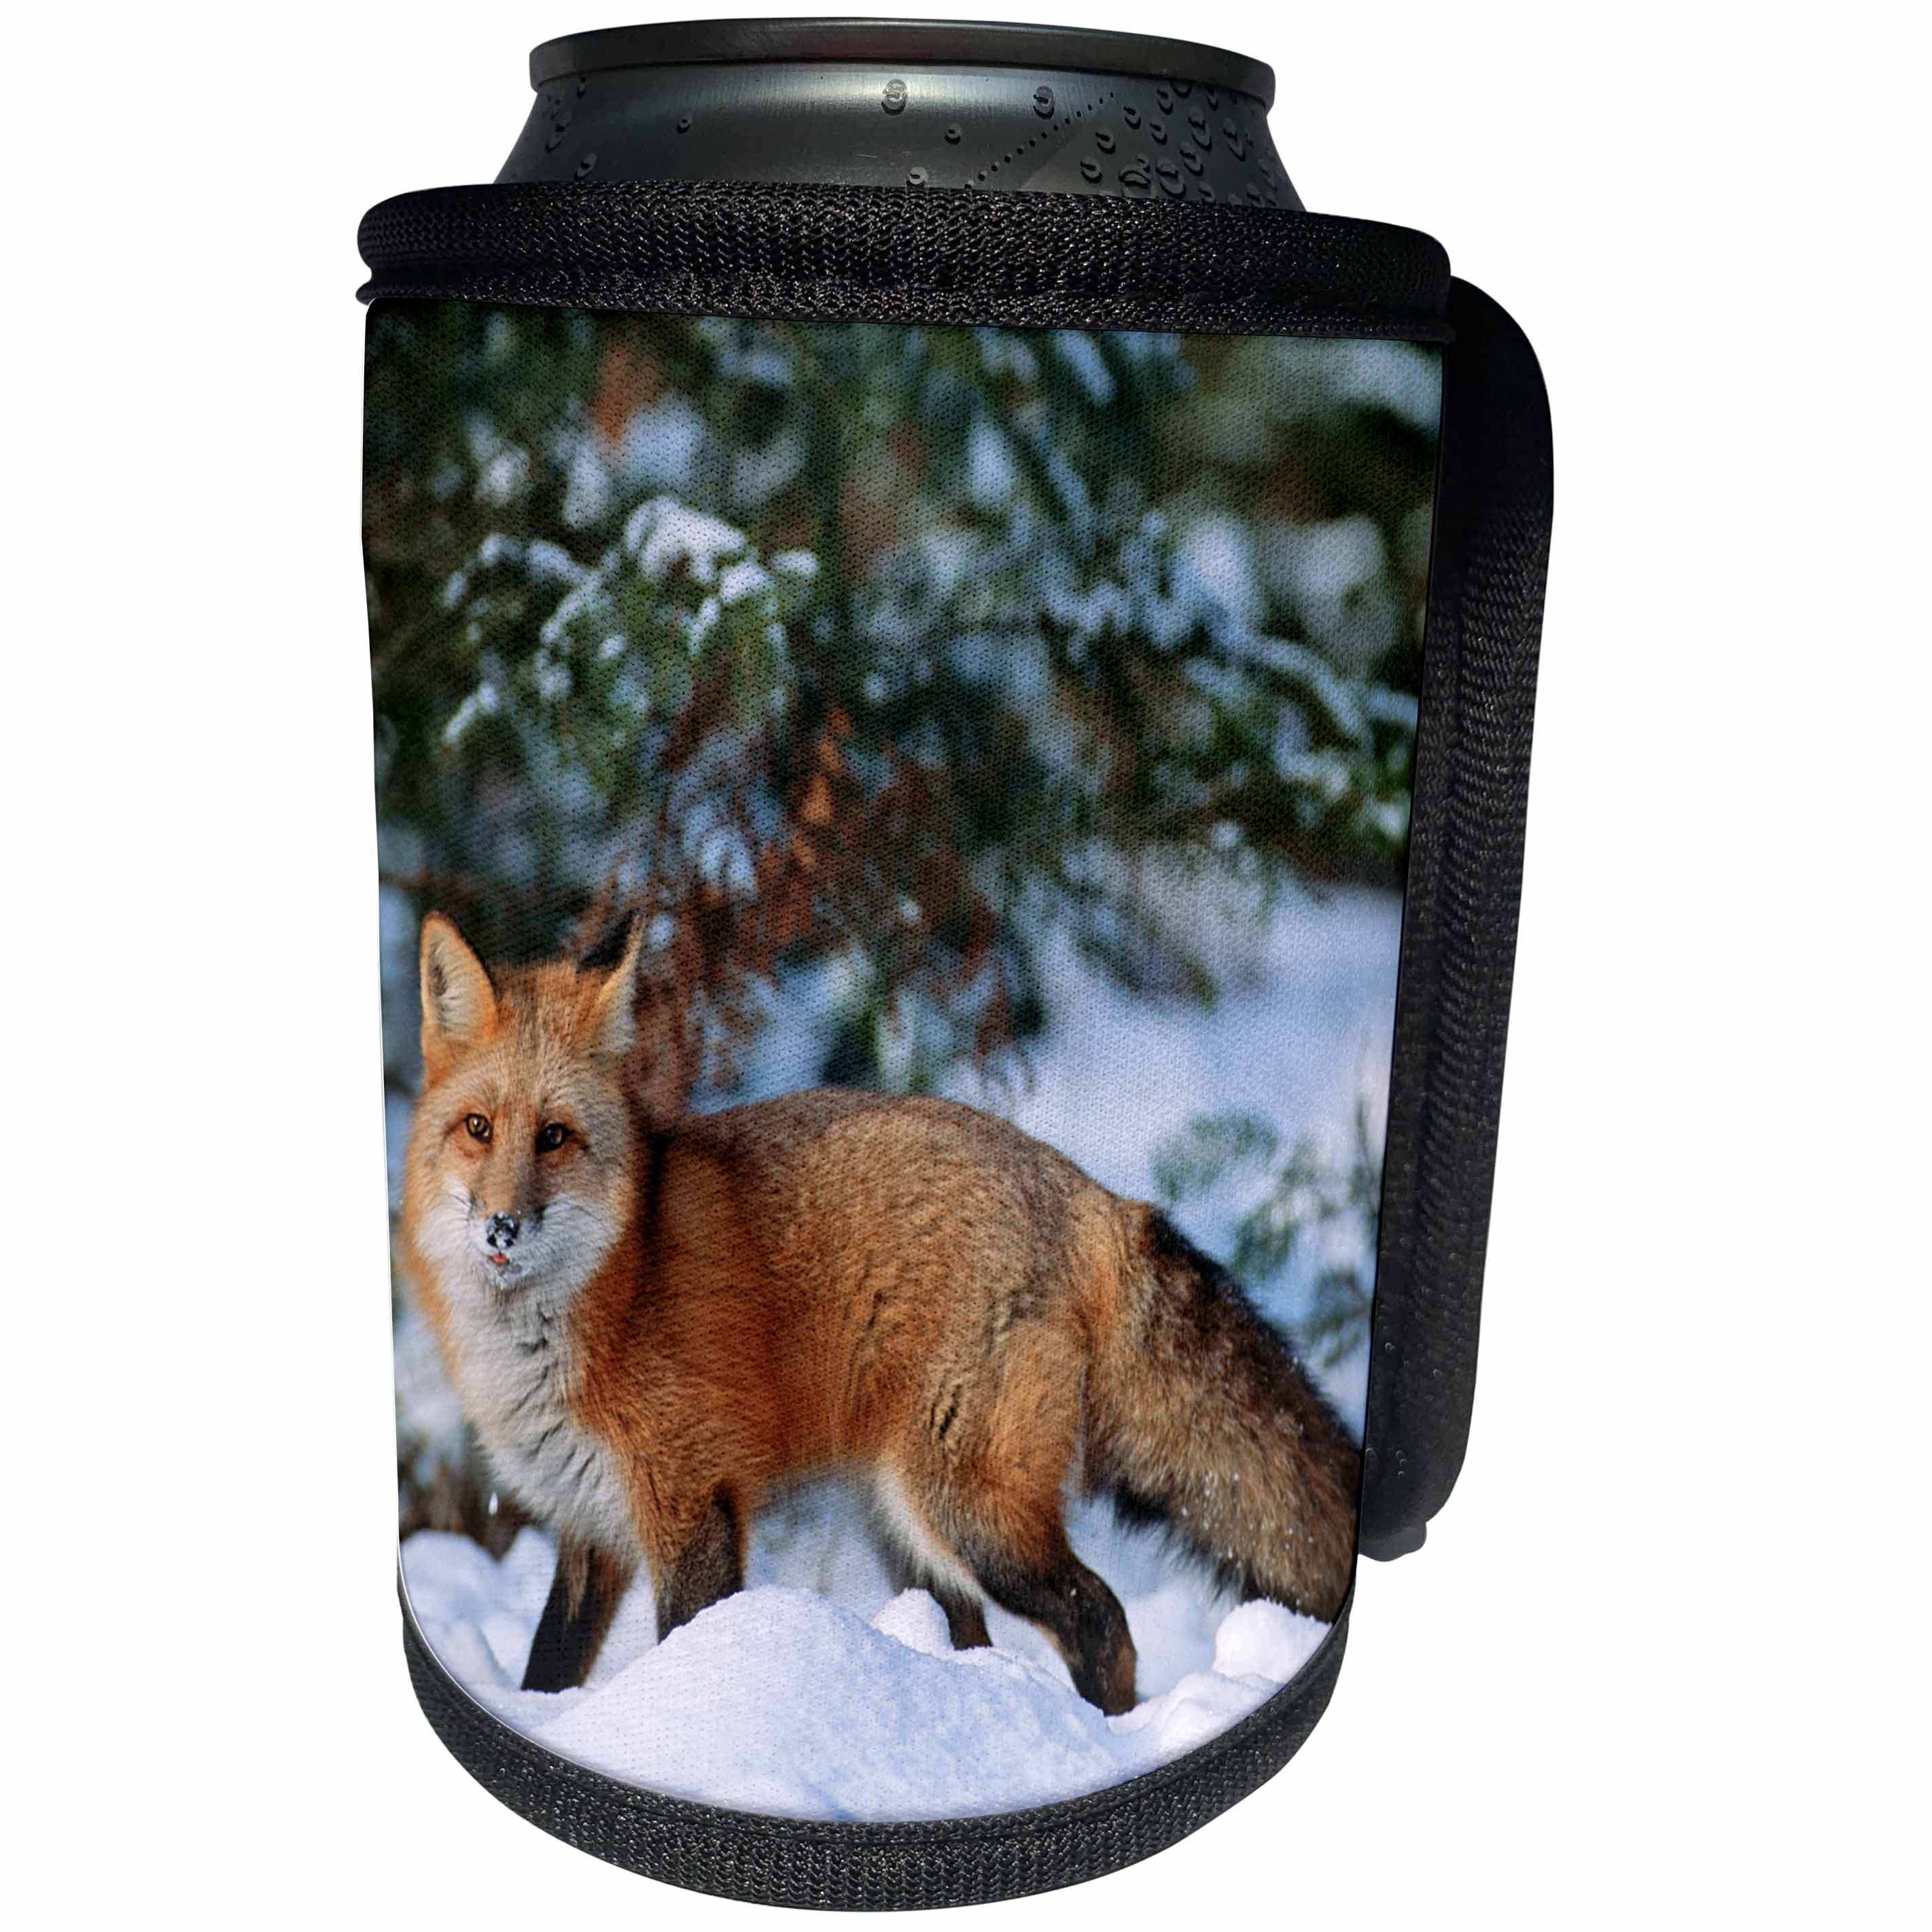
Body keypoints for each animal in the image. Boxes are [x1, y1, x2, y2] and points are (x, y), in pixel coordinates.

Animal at [400, 910, 1361, 1716]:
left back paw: (1104, 1742)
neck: (601, 1295)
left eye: (554, 1137)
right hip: (904, 1526)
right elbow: (546, 1668)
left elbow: (686, 1641)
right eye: (478, 1127)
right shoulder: (588, 1524)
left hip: (967, 1513)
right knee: (973, 1636)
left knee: (1101, 1620)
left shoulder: (692, 1501)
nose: (501, 1227)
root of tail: (1089, 1191)